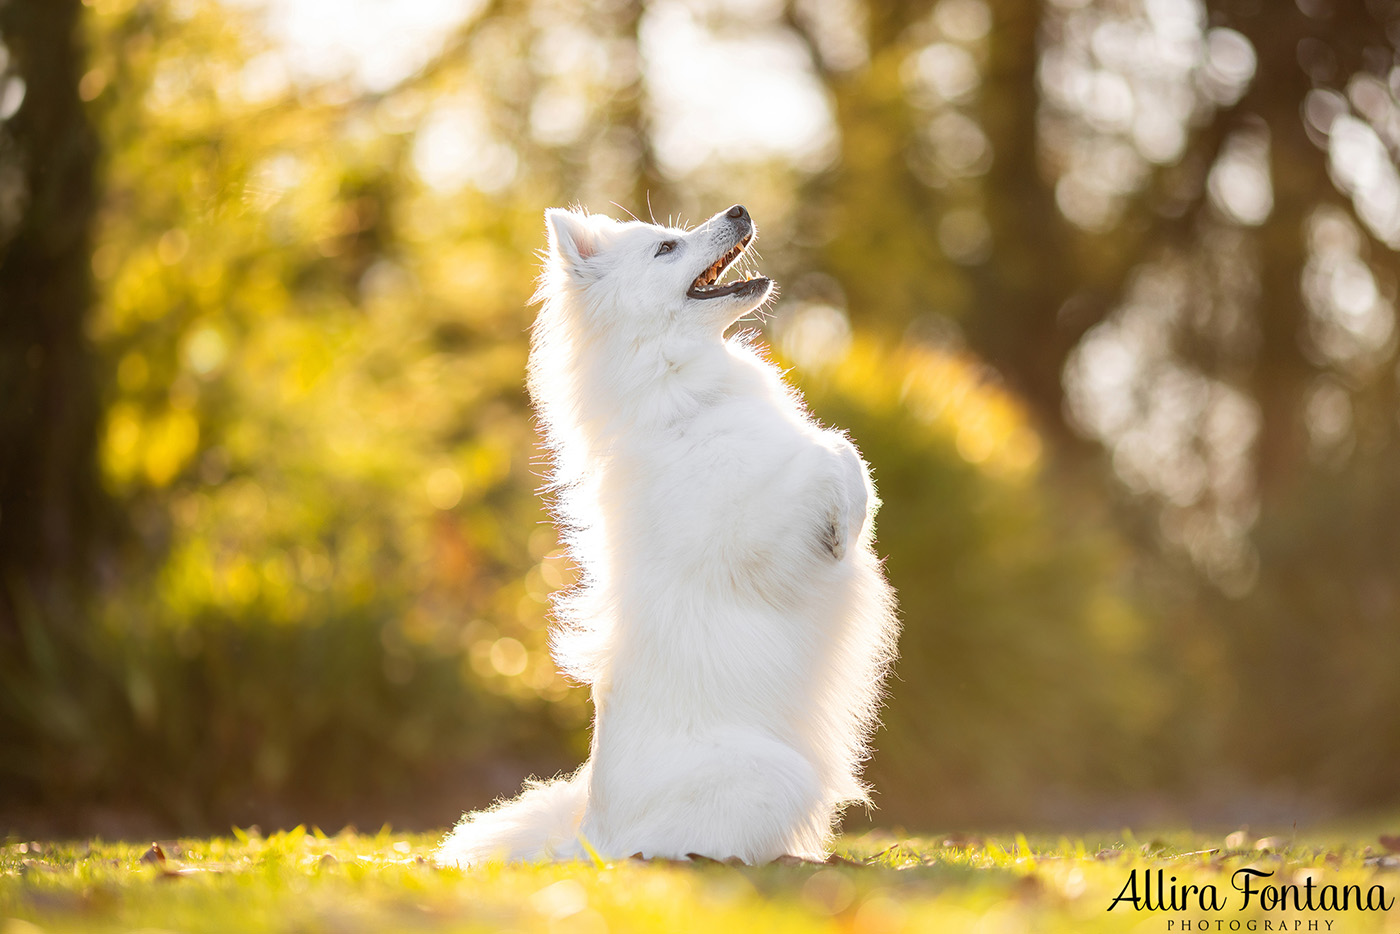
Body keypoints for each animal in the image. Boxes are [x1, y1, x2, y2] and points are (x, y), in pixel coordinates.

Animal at [436, 204, 896, 868]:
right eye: (665, 248)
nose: (739, 209)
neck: (686, 401)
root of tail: (589, 839)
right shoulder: (752, 542)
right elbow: (827, 452)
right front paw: (841, 529)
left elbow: (844, 450)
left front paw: (856, 516)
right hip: (779, 777)